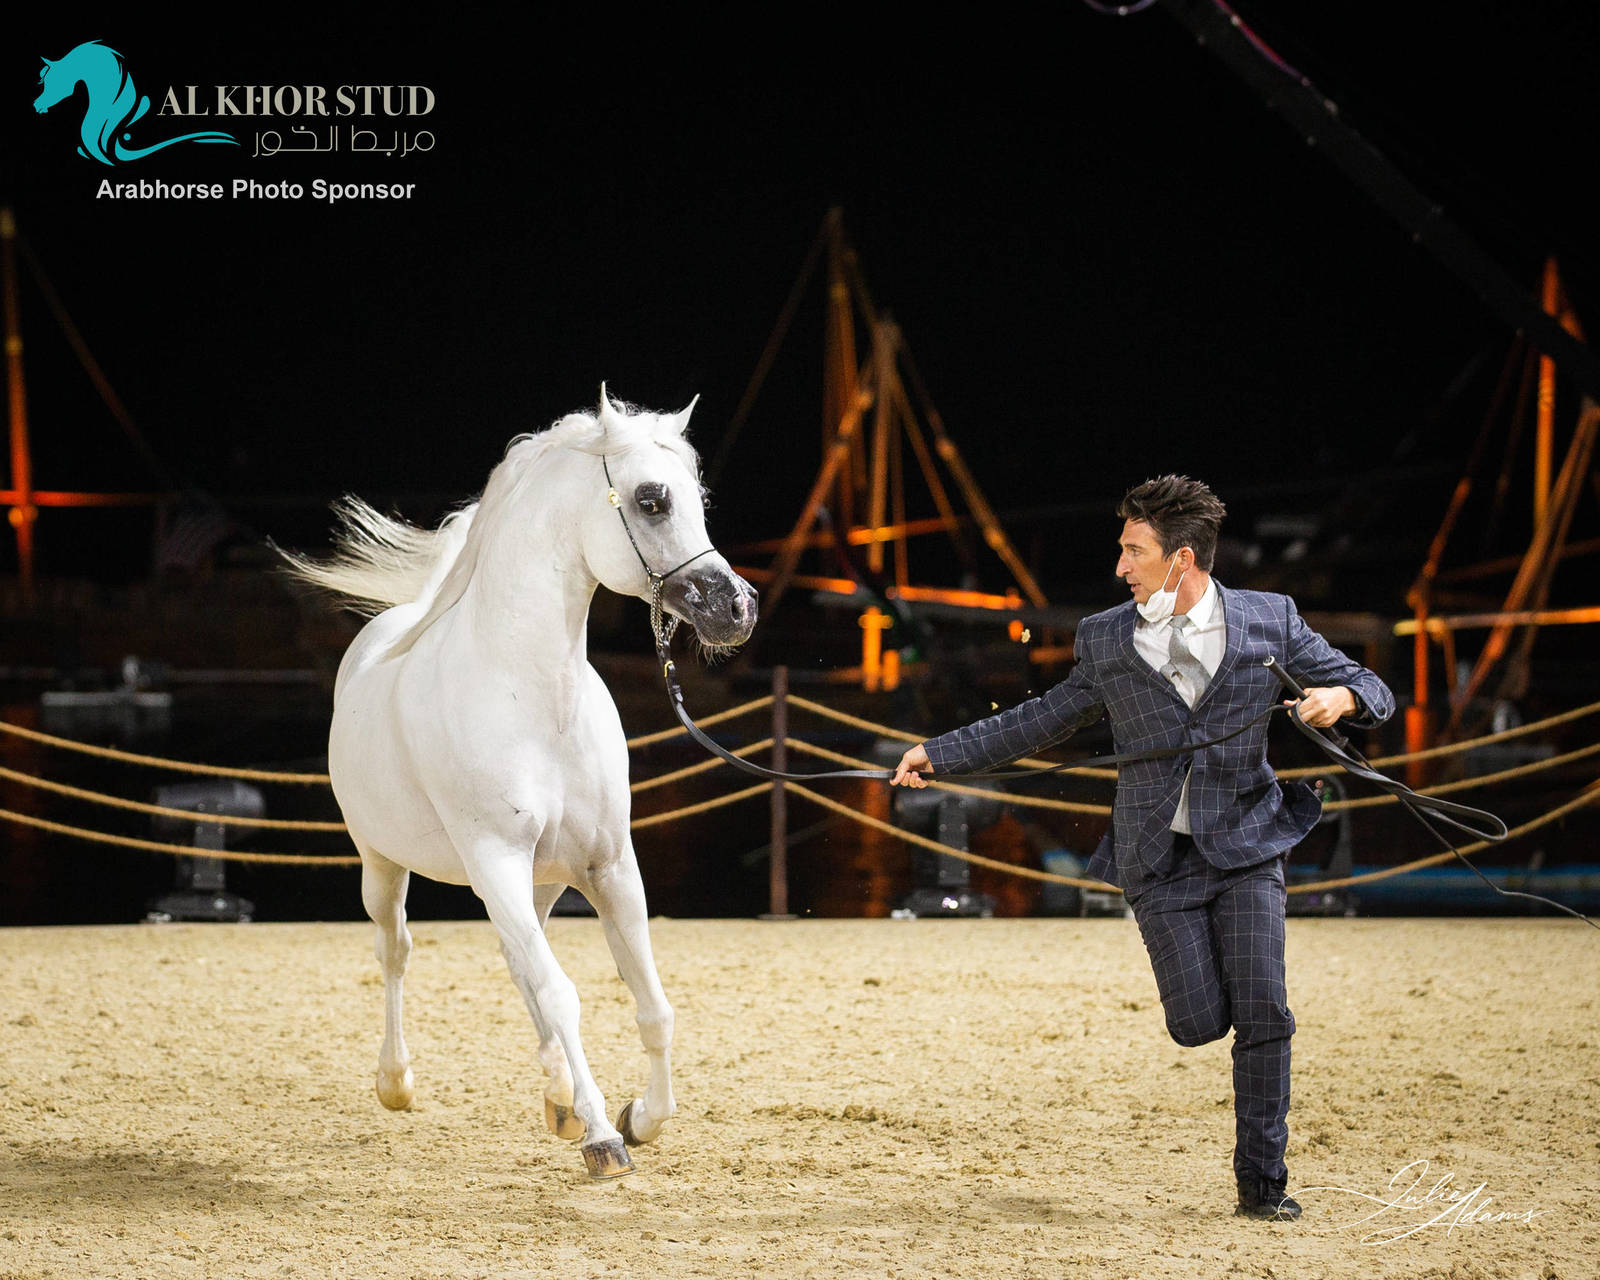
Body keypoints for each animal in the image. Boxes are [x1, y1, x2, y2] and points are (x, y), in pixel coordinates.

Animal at [283, 389, 757, 1178]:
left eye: (699, 497)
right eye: (652, 499)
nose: (738, 609)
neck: (533, 700)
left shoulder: (608, 865)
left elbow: (651, 1001)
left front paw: (641, 1118)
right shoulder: (495, 860)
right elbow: (563, 996)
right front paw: (603, 1139)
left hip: (540, 884)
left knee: (518, 964)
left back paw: (558, 1101)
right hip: (387, 866)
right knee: (398, 951)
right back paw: (398, 1083)